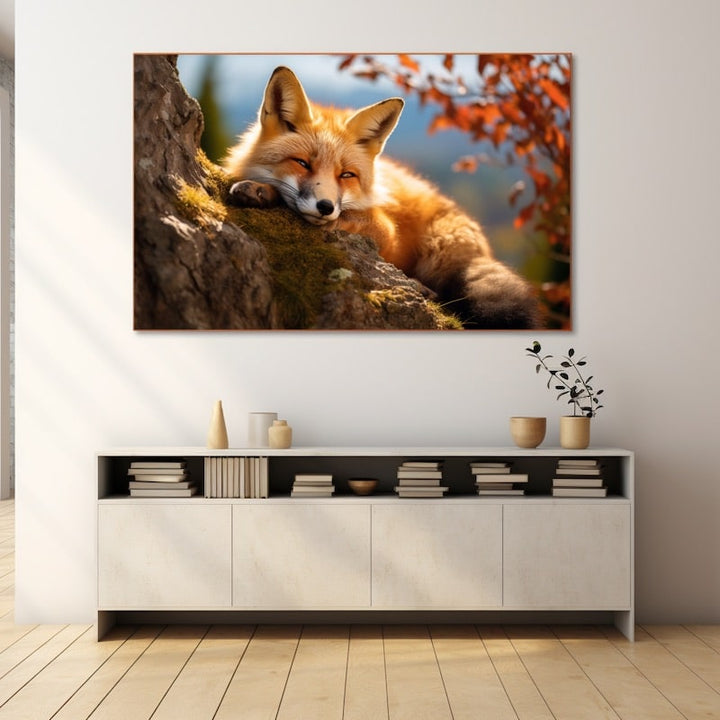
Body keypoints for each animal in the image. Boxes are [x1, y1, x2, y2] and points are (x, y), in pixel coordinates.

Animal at [223, 65, 541, 329]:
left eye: (346, 175)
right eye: (302, 163)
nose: (325, 207)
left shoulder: (386, 230)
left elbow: (354, 219)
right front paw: (262, 191)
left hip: (437, 251)